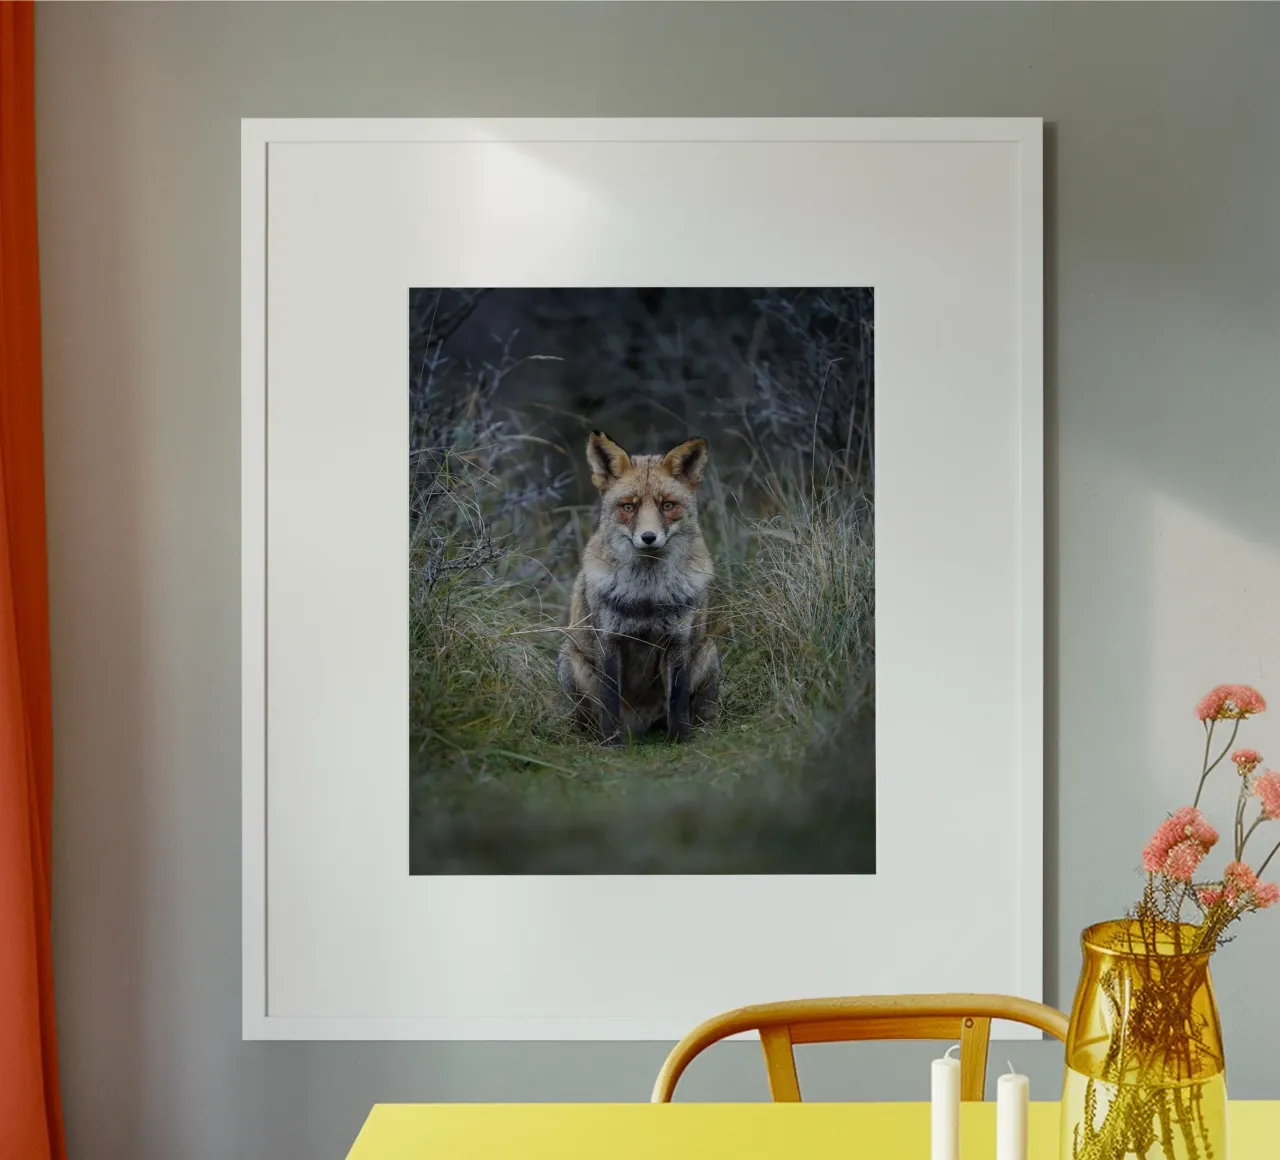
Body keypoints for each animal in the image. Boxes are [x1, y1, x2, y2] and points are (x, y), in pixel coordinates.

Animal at [557, 430, 720, 745]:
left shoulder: (678, 639)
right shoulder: (609, 639)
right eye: (628, 507)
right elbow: (610, 701)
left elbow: (678, 701)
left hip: (708, 650)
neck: (647, 596)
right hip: (571, 660)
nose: (648, 537)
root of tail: (640, 727)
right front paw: (611, 744)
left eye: (667, 505)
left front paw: (680, 739)